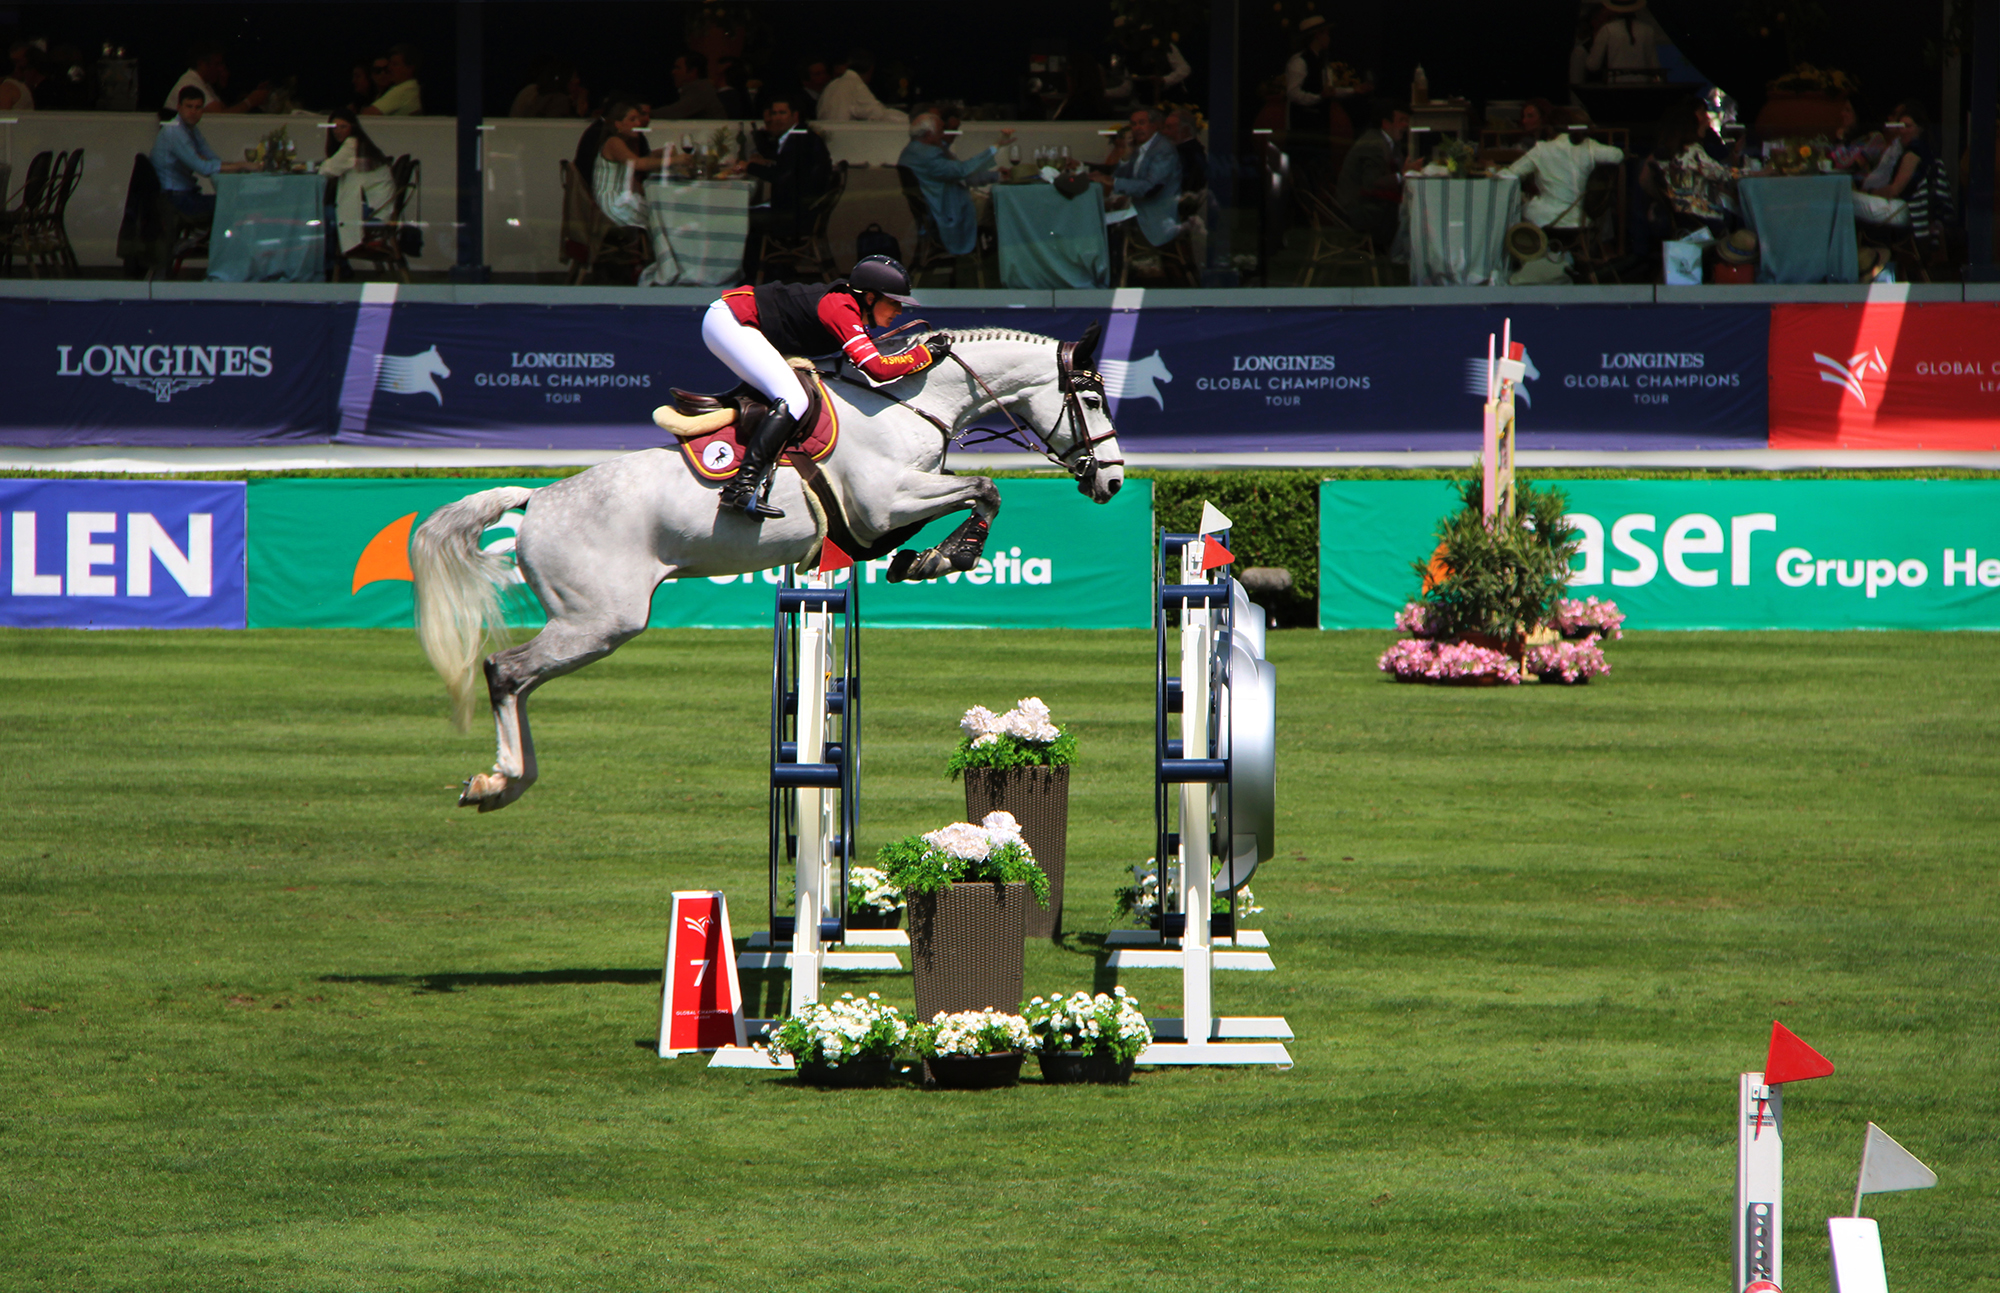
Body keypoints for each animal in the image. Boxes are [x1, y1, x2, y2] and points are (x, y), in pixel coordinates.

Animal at [409, 324, 1125, 813]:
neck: (912, 407)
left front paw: (919, 558)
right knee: (506, 671)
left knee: (521, 681)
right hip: (600, 621)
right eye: (1091, 402)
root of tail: (535, 500)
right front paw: (953, 555)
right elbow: (986, 490)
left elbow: (951, 507)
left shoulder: (881, 514)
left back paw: (505, 782)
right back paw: (499, 780)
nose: (1113, 480)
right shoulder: (883, 502)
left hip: (586, 623)